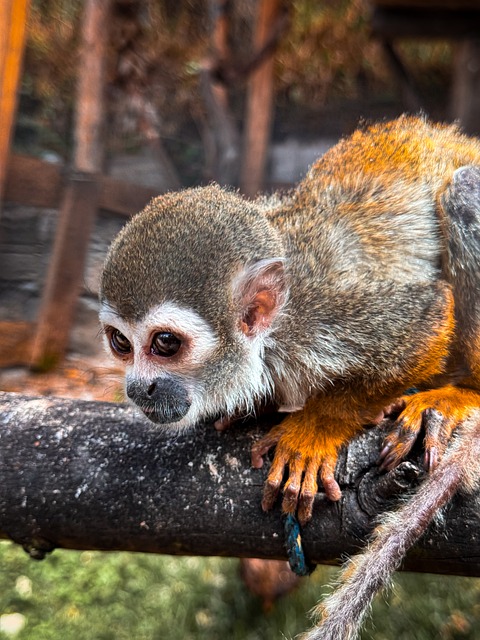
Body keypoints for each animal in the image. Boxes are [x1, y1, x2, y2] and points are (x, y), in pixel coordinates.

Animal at [99, 115, 480, 638]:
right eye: (120, 342)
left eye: (165, 344)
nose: (139, 388)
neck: (270, 338)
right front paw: (249, 409)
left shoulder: (322, 315)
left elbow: (429, 315)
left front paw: (315, 431)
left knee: (464, 191)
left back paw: (463, 393)